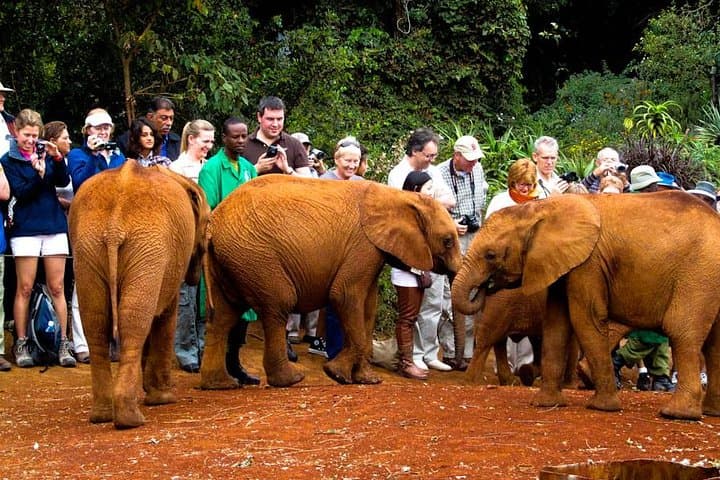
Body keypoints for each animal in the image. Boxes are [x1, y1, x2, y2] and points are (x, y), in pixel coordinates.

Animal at [69, 160, 210, 429]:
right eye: (208, 224)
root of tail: (114, 227)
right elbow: (166, 316)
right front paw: (162, 399)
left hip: (88, 249)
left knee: (97, 323)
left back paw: (103, 415)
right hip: (147, 249)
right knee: (134, 323)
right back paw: (130, 419)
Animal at [200, 174, 463, 389]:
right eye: (448, 241)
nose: (456, 365)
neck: (401, 196)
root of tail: (213, 222)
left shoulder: (372, 252)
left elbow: (368, 307)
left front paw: (367, 380)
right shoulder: (363, 245)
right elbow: (344, 296)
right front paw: (336, 374)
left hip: (232, 259)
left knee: (223, 316)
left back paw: (220, 384)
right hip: (255, 257)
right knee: (278, 305)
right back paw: (290, 380)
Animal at [452, 191, 720, 420]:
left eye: (490, 255)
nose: (486, 287)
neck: (541, 209)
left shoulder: (588, 264)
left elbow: (584, 319)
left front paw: (602, 407)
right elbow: (556, 324)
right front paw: (546, 404)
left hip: (698, 275)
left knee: (683, 333)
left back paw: (677, 414)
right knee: (712, 343)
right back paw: (708, 412)